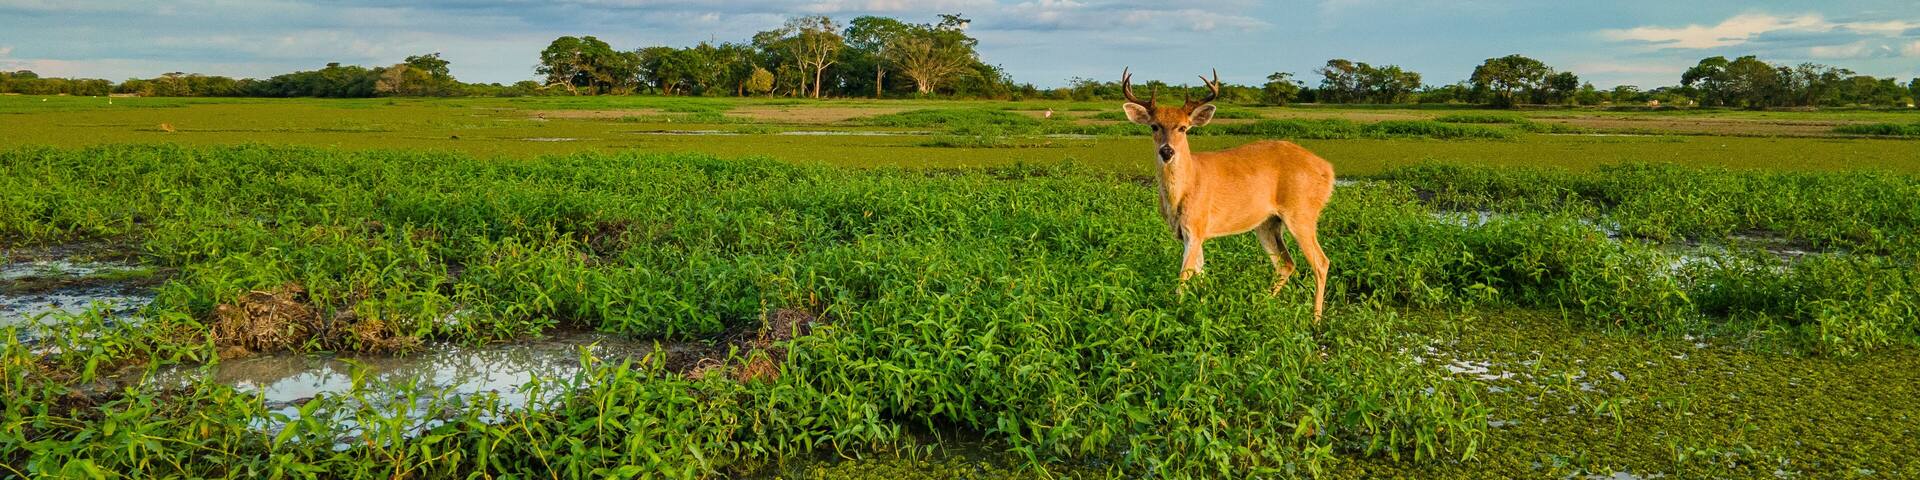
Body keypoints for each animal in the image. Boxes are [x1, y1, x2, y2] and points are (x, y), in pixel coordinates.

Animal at [1119, 68, 1335, 321]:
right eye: (1154, 126)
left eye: (1183, 127)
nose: (1167, 151)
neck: (1184, 188)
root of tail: (1328, 170)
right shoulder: (1189, 233)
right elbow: (1200, 273)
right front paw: (1203, 308)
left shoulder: (1196, 226)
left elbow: (1184, 277)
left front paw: (1177, 312)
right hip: (1267, 223)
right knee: (1286, 263)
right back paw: (1263, 304)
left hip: (1302, 212)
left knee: (1321, 262)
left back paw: (1315, 319)